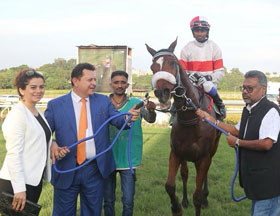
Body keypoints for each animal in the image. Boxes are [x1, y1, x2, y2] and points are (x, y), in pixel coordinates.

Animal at [145, 39, 222, 216]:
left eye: (173, 62)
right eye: (152, 67)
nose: (162, 92)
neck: (191, 118)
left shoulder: (203, 157)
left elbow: (197, 196)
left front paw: (201, 199)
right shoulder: (176, 153)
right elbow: (170, 185)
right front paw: (176, 206)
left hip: (213, 148)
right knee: (185, 174)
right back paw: (185, 200)